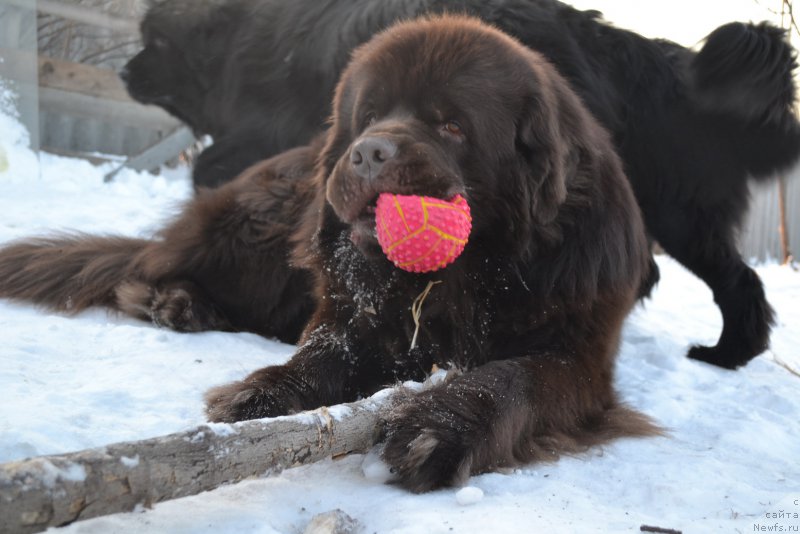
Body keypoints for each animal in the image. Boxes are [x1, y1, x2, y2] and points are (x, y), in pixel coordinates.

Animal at [0, 16, 656, 492]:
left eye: (452, 126)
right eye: (369, 115)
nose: (367, 152)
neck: (461, 277)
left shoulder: (576, 355)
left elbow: (511, 378)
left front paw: (439, 428)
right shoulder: (353, 312)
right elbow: (323, 353)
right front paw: (262, 397)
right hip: (261, 238)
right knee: (152, 266)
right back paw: (175, 302)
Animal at [120, 0, 800, 370]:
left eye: (157, 41)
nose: (125, 70)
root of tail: (616, 43)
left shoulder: (265, 129)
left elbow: (211, 167)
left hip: (668, 210)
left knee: (720, 279)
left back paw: (722, 353)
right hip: (675, 208)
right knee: (721, 278)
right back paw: (728, 354)